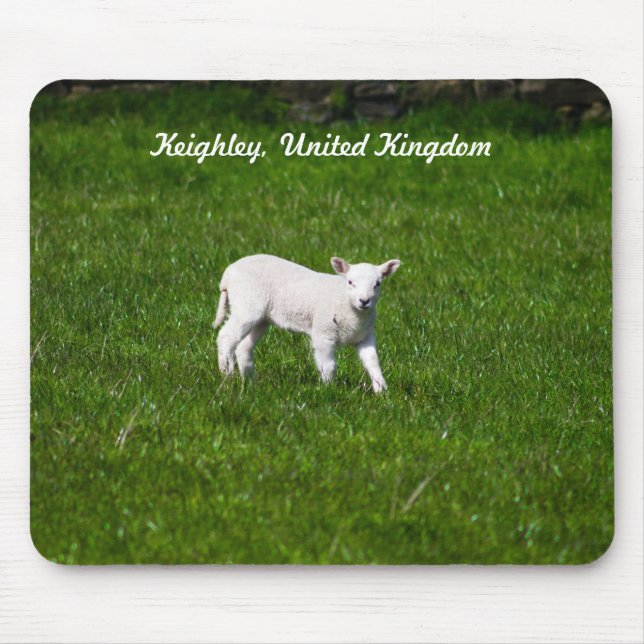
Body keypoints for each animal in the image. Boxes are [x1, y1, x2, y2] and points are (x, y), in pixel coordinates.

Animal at [212, 254, 401, 393]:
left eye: (377, 284)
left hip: (261, 317)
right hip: (246, 304)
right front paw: (329, 390)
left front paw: (381, 390)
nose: (364, 301)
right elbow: (329, 366)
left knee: (243, 346)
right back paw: (228, 376)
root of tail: (227, 274)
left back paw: (250, 380)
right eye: (350, 282)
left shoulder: (365, 336)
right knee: (226, 337)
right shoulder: (323, 333)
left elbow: (373, 361)